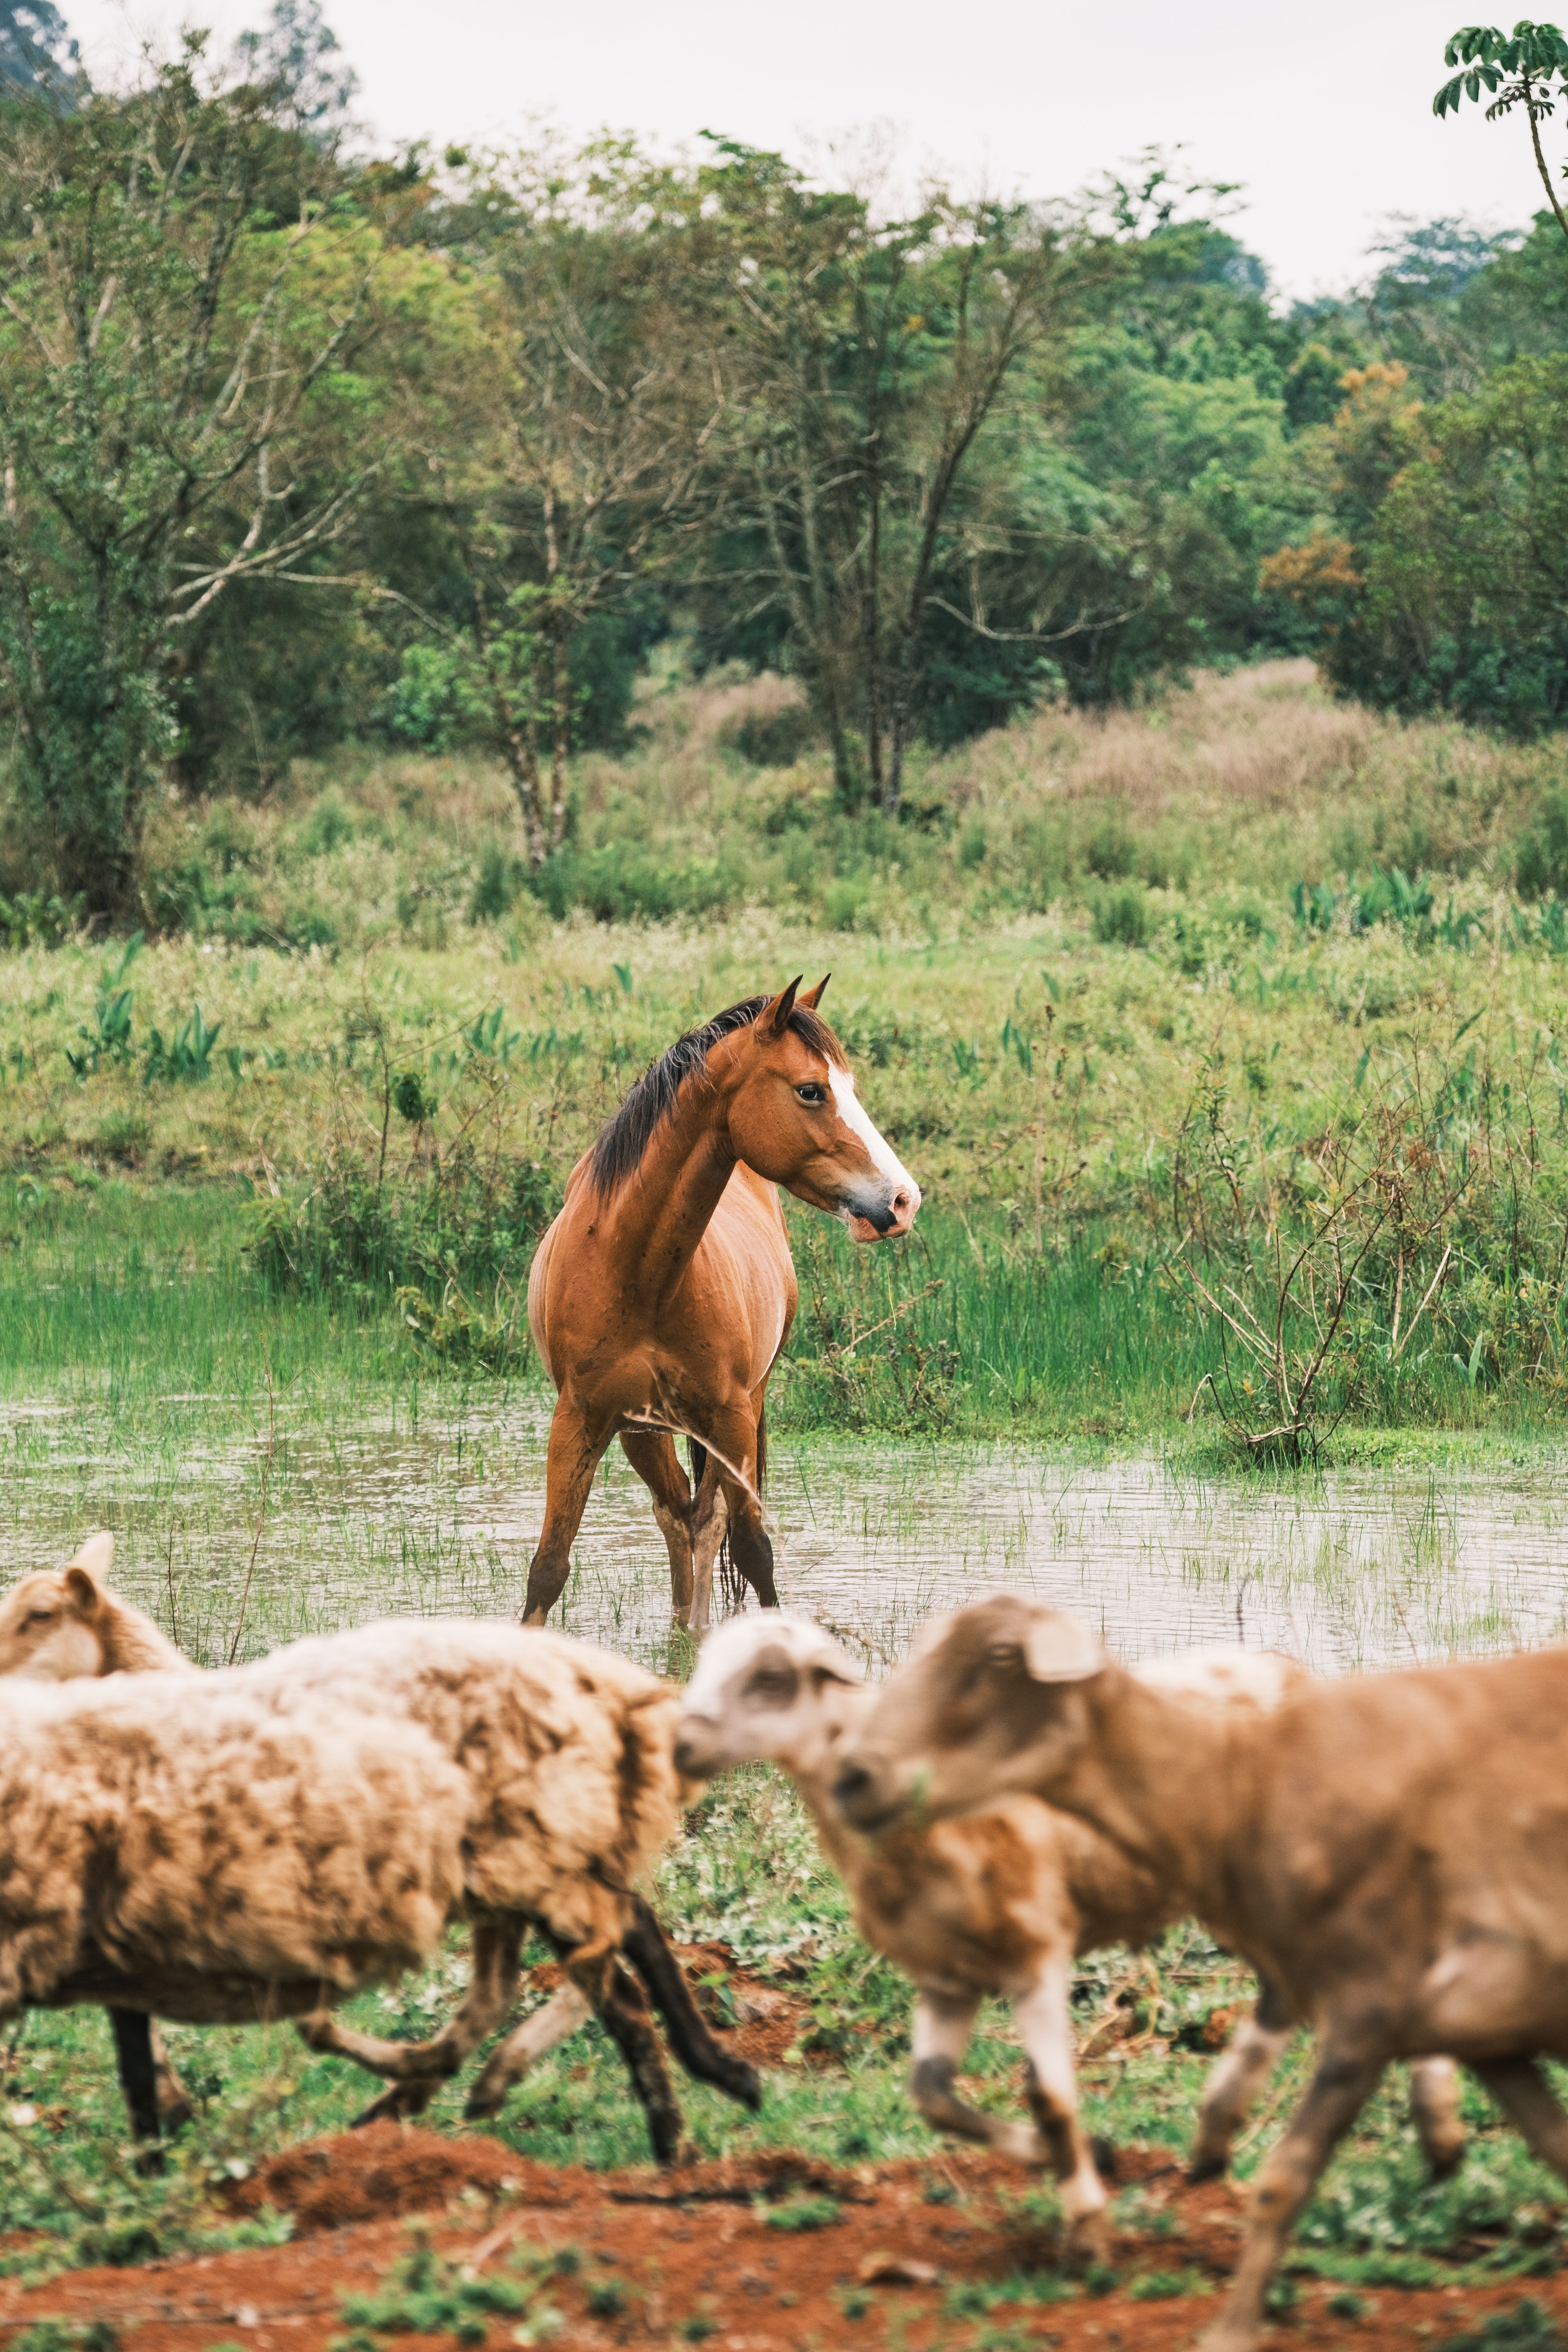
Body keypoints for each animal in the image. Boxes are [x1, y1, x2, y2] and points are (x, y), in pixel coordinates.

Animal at [0, 1554, 760, 2160]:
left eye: (39, 1615)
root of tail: (611, 1685)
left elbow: (139, 2058)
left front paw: (157, 2151)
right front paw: (172, 2126)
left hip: (537, 1852)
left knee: (612, 1974)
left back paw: (671, 2124)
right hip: (530, 1863)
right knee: (580, 1963)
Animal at [523, 977, 920, 1630]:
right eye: (811, 1090)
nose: (904, 1200)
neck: (639, 1273)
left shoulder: (731, 1418)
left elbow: (754, 1552)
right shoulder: (580, 1419)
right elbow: (550, 1568)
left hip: (738, 1412)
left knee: (706, 1524)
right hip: (643, 1431)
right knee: (676, 1515)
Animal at [675, 1615, 1461, 2256]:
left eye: (770, 1679)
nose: (682, 1745)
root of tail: (1290, 1670)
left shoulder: (1037, 1953)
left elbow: (1051, 2101)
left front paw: (1087, 2225)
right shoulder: (947, 1975)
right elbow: (933, 2097)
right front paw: (1093, 2159)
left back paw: (1434, 2132)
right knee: (1290, 1987)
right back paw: (1234, 2137)